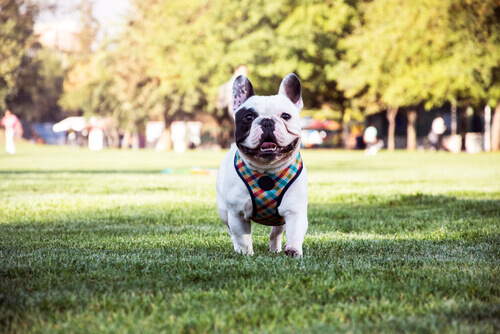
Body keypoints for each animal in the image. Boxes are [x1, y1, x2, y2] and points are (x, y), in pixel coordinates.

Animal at [216, 72, 308, 256]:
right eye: (249, 117)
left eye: (285, 116)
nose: (267, 121)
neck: (267, 170)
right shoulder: (237, 213)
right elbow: (242, 237)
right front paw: (246, 254)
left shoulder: (295, 210)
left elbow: (295, 232)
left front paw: (293, 250)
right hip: (224, 212)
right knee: (231, 232)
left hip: (279, 220)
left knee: (276, 233)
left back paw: (275, 249)